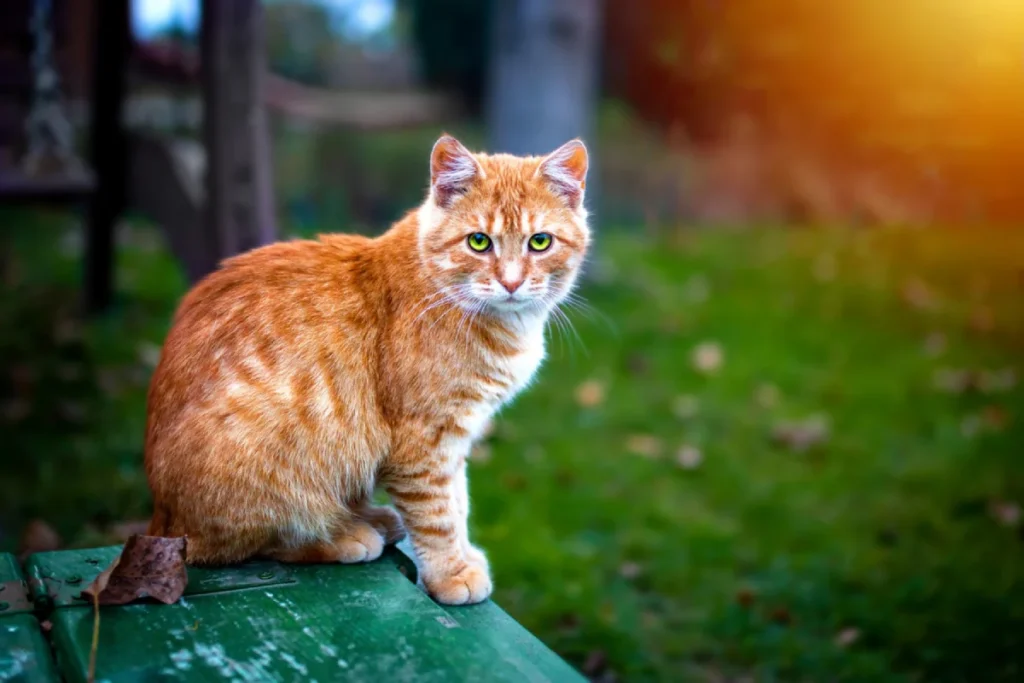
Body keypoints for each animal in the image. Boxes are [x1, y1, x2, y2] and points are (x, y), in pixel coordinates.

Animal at [145, 133, 593, 602]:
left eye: (539, 242)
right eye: (478, 242)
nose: (511, 282)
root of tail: (162, 518)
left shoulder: (455, 437)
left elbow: (458, 501)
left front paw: (463, 556)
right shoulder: (423, 440)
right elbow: (437, 514)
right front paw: (449, 572)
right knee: (250, 542)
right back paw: (344, 535)